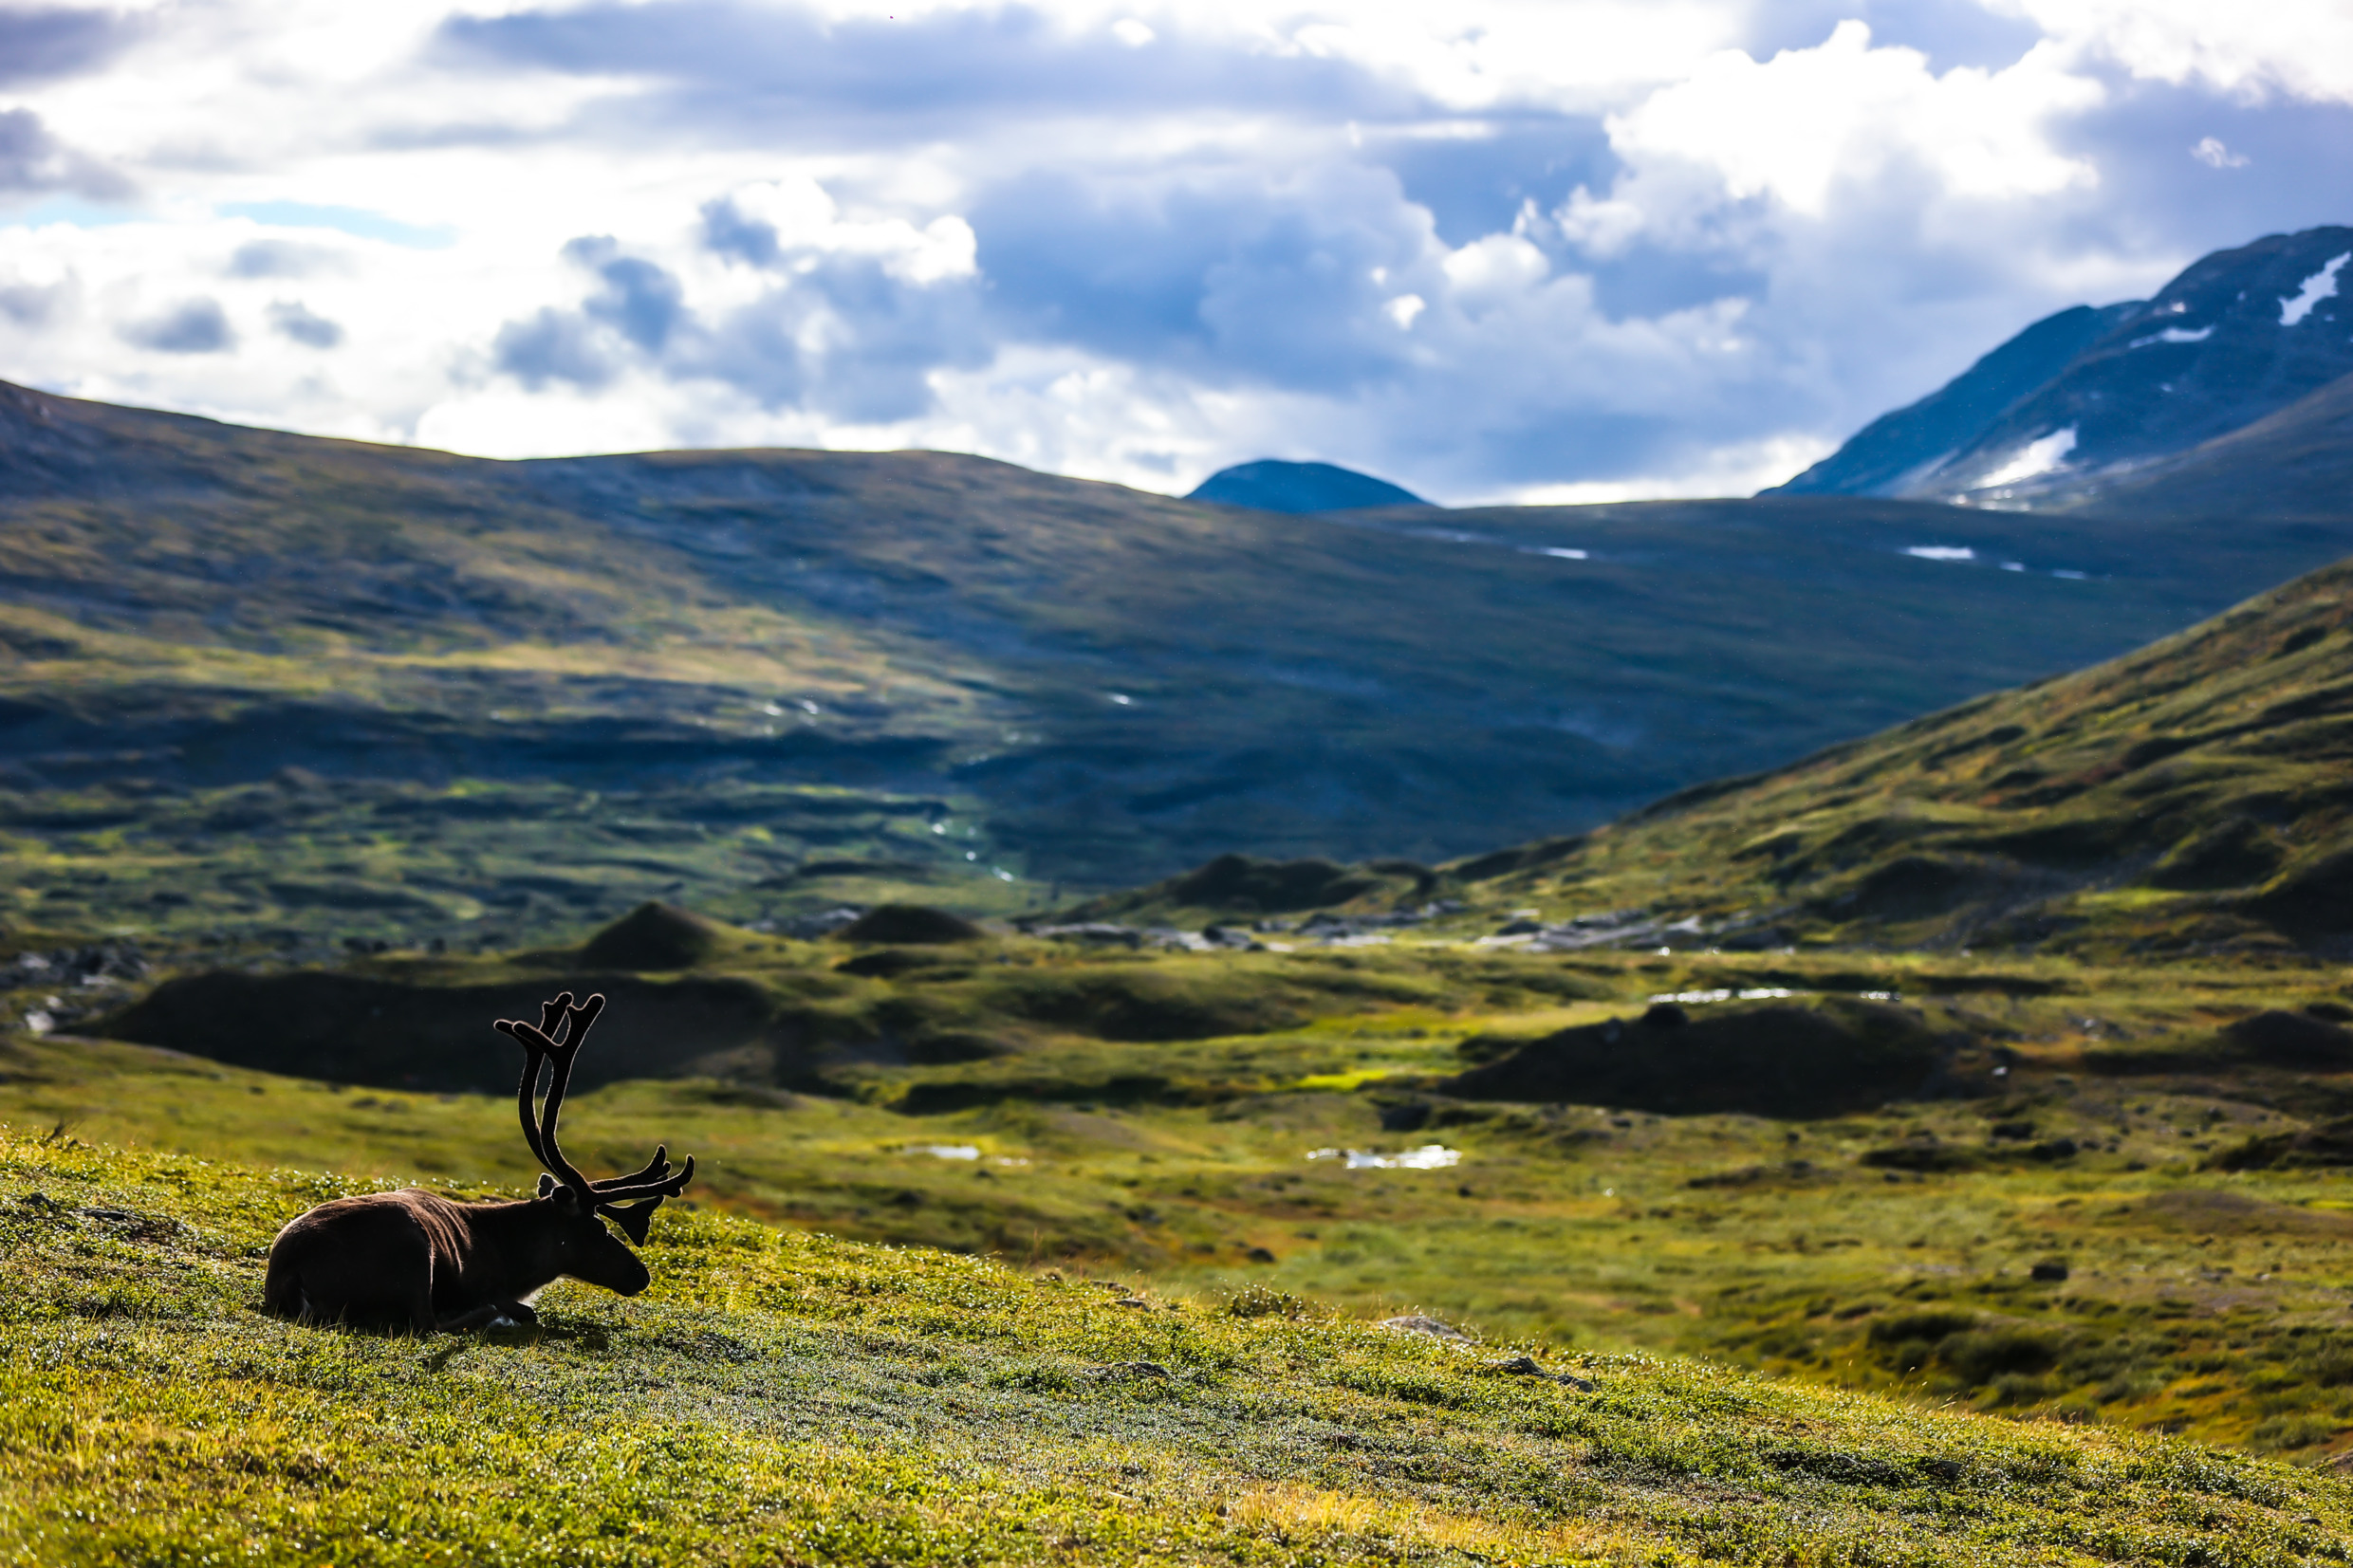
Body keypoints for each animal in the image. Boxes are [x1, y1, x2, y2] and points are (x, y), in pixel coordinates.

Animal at [262, 991, 695, 1333]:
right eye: (598, 1228)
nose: (642, 1275)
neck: (513, 1259)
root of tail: (290, 1273)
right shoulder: (481, 1281)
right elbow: (516, 1307)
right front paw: (510, 1311)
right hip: (414, 1255)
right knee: (428, 1323)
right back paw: (493, 1317)